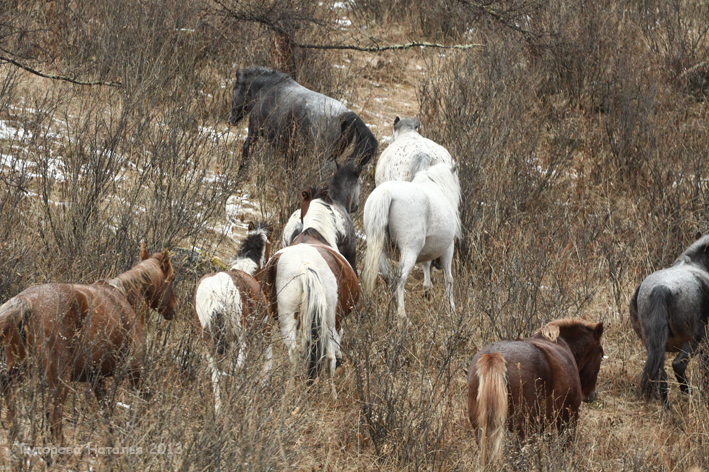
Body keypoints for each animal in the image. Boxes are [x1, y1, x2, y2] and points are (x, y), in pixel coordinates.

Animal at [0, 245, 176, 444]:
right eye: (172, 278)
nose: (173, 309)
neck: (126, 298)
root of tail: (25, 302)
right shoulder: (135, 369)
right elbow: (143, 400)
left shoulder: (96, 377)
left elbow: (106, 411)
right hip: (58, 377)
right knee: (53, 413)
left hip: (18, 369)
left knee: (11, 400)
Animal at [230, 65, 378, 178]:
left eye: (235, 88)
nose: (231, 119)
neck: (268, 87)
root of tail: (343, 114)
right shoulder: (289, 149)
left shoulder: (254, 131)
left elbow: (246, 149)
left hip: (323, 158)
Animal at [262, 188, 360, 398]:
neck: (314, 232)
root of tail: (305, 266)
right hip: (330, 320)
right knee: (329, 356)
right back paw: (332, 395)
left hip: (287, 317)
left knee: (294, 354)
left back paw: (289, 393)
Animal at [464, 318, 604, 464]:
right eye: (601, 354)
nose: (592, 395)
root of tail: (494, 356)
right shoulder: (568, 418)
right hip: (525, 431)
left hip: (482, 430)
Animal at [628, 234, 708, 408]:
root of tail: (661, 288)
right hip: (695, 341)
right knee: (678, 365)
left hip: (654, 346)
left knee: (661, 374)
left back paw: (667, 408)